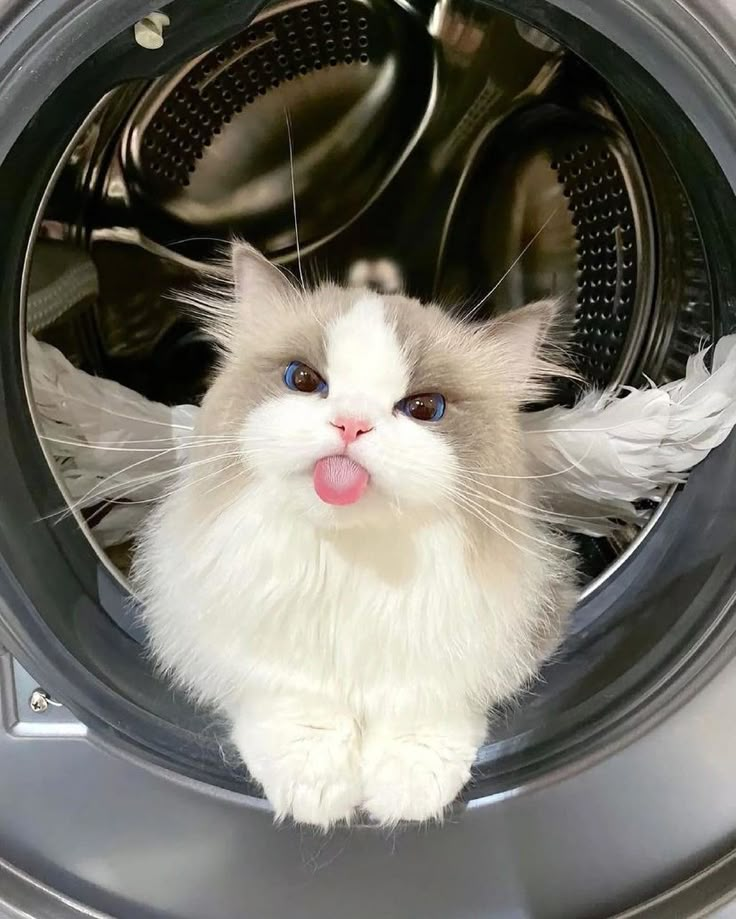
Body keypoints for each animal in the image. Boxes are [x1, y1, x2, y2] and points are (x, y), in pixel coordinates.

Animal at [135, 241, 576, 832]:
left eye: (423, 408)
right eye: (302, 380)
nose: (351, 424)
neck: (351, 562)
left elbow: (423, 706)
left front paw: (406, 790)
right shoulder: (245, 642)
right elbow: (296, 702)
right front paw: (316, 787)